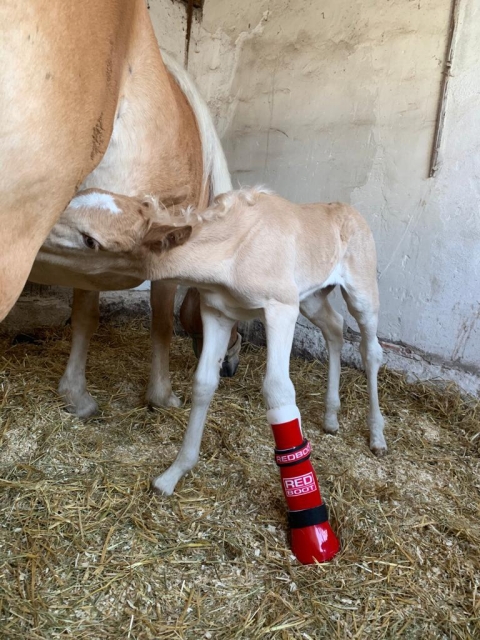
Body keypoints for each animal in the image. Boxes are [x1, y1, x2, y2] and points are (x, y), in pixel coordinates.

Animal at [1, 0, 236, 418]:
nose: (229, 369)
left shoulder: (88, 258)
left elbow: (84, 317)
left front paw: (75, 395)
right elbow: (161, 323)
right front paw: (162, 396)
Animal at [48, 186, 386, 496]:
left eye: (90, 241)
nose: (42, 228)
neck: (233, 254)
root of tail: (349, 210)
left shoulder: (281, 308)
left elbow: (278, 389)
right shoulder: (217, 312)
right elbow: (204, 382)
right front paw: (172, 475)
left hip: (360, 292)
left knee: (370, 349)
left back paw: (376, 436)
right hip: (312, 297)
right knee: (334, 327)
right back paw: (331, 418)